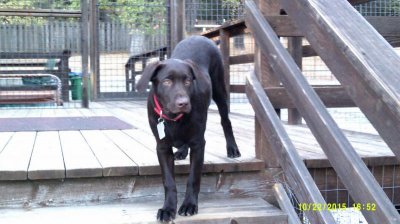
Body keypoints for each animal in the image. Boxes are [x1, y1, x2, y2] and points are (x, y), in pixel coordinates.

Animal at [136, 35, 241, 222]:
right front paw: (168, 209)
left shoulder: (199, 144)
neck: (173, 118)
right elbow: (169, 181)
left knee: (226, 121)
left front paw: (189, 205)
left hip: (220, 90)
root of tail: (201, 36)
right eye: (167, 81)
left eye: (187, 81)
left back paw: (232, 149)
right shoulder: (162, 147)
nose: (183, 103)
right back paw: (182, 151)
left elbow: (193, 178)